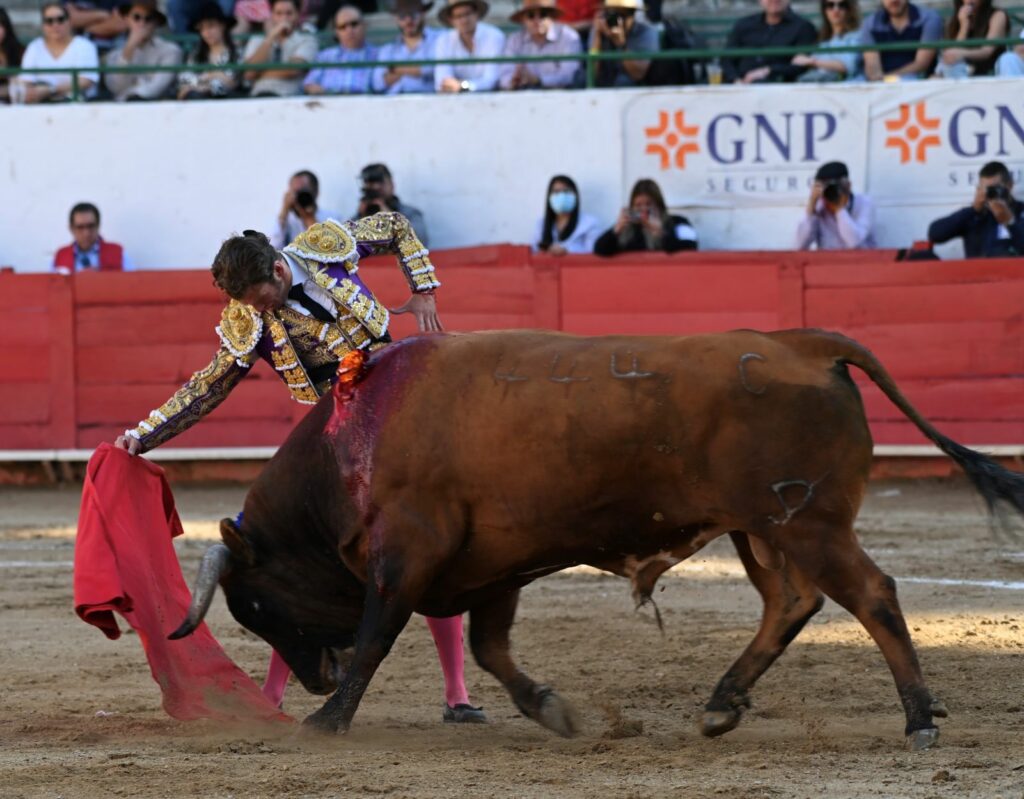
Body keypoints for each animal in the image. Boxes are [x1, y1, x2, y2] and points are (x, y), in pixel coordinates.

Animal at [170, 329, 1024, 751]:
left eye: (254, 604)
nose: (311, 680)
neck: (352, 444)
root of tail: (806, 344)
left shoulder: (409, 552)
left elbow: (381, 634)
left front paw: (329, 722)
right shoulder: (493, 564)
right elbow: (489, 646)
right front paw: (552, 709)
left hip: (806, 522)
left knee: (871, 593)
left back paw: (918, 719)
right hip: (763, 528)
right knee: (791, 600)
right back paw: (721, 705)